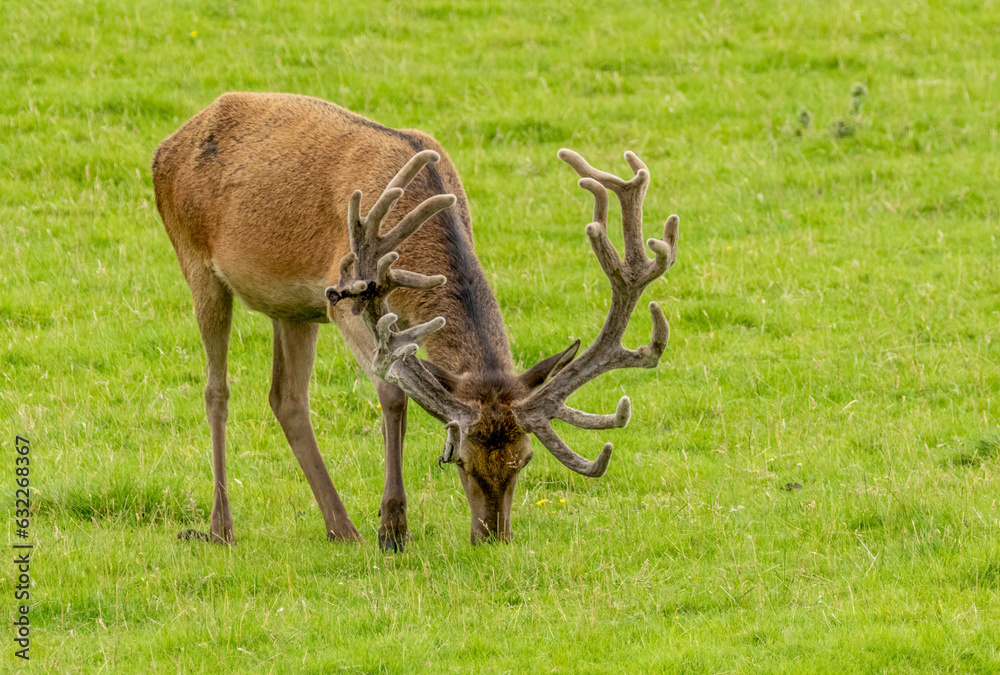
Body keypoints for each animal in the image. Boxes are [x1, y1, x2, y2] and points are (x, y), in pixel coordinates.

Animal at [152, 92, 679, 549]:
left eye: (524, 460)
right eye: (461, 462)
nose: (493, 537)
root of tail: (167, 145)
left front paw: (386, 524)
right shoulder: (344, 297)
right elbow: (392, 392)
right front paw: (393, 528)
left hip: (292, 308)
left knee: (287, 398)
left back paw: (340, 527)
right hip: (195, 260)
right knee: (216, 391)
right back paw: (222, 527)